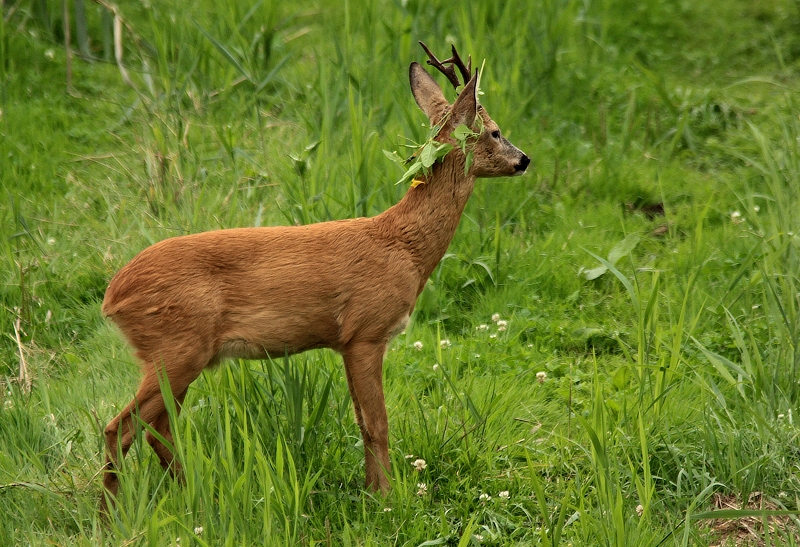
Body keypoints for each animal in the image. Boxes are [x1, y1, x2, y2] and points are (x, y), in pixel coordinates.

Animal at [101, 41, 532, 510]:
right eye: (495, 131)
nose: (524, 159)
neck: (404, 248)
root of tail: (112, 297)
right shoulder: (367, 331)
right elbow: (378, 424)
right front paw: (388, 500)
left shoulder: (344, 342)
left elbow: (361, 423)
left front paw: (370, 492)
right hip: (175, 348)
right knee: (120, 428)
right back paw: (113, 515)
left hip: (179, 356)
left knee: (157, 429)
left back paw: (195, 495)